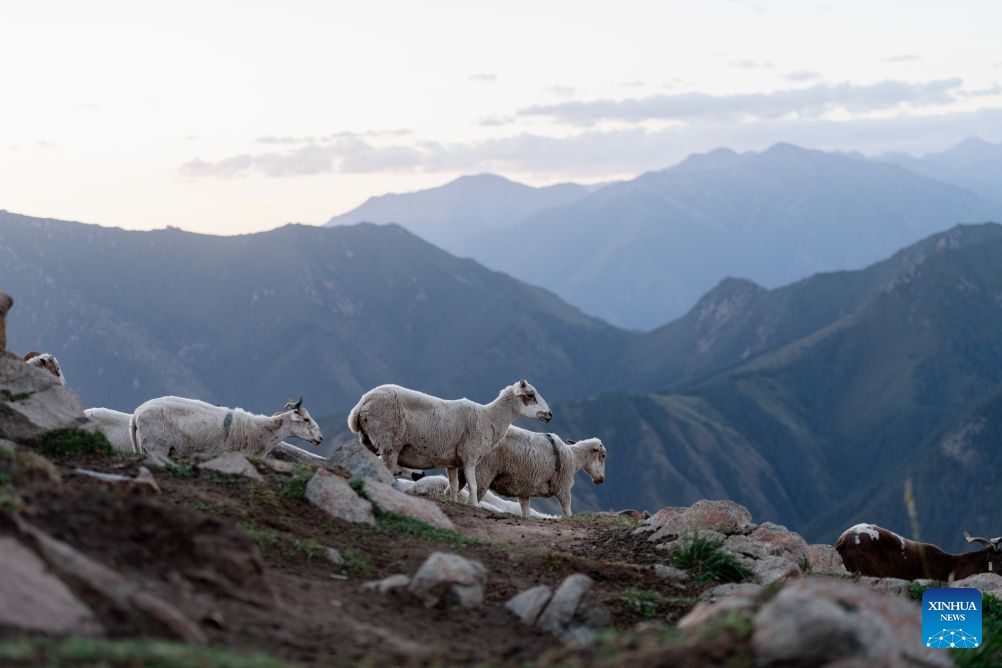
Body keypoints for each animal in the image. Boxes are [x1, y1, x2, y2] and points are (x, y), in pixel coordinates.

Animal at [347, 380, 552, 507]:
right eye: (531, 395)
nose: (550, 414)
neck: (489, 418)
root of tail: (361, 404)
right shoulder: (469, 457)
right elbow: (473, 485)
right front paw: (474, 505)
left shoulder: (452, 462)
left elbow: (453, 486)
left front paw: (453, 502)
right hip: (389, 444)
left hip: (369, 442)